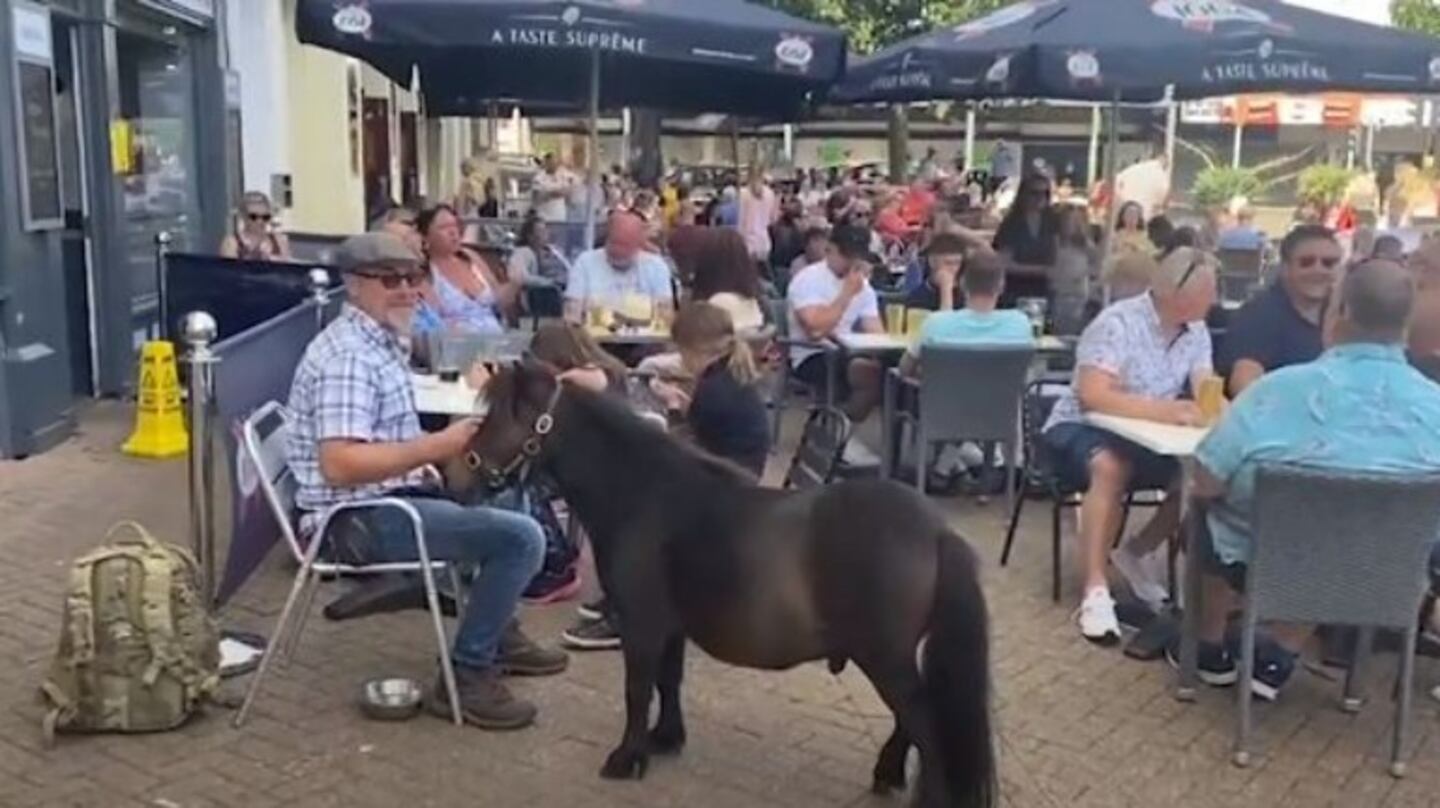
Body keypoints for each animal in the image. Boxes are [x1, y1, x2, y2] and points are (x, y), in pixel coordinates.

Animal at [463, 365, 1002, 806]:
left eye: (498, 419)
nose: (460, 474)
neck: (644, 494)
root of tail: (936, 531)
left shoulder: (641, 624)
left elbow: (638, 689)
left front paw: (627, 757)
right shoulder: (670, 627)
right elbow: (668, 681)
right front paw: (665, 739)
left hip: (885, 657)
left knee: (924, 723)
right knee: (912, 720)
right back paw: (887, 773)